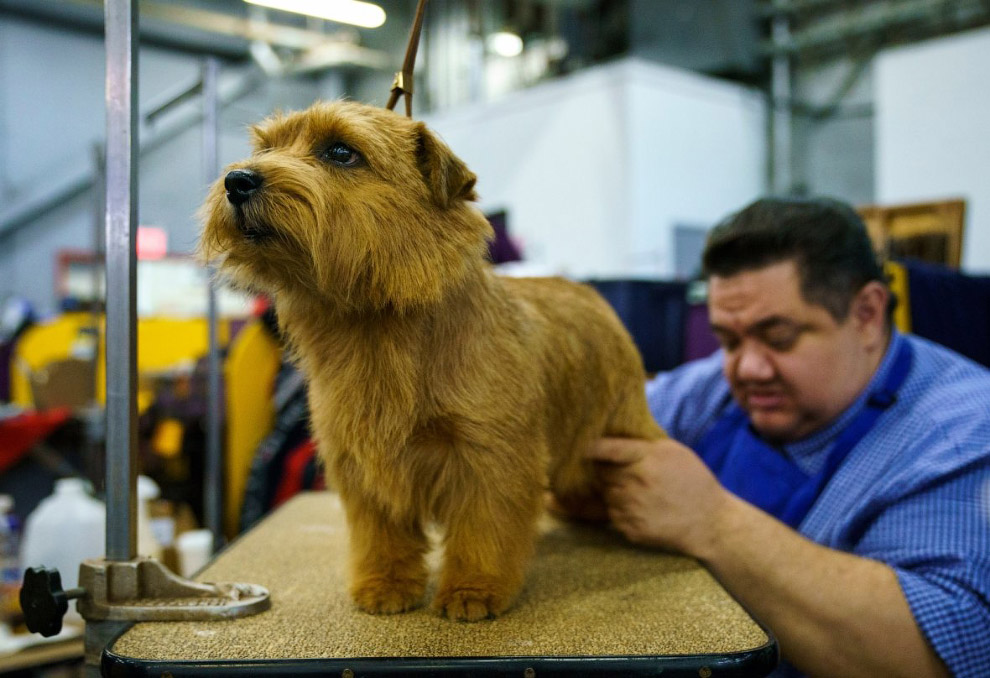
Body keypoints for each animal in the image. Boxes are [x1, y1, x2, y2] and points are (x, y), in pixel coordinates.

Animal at [202, 101, 668, 620]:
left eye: (341, 152)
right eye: (266, 148)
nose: (237, 180)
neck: (373, 322)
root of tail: (590, 294)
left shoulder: (490, 457)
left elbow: (484, 531)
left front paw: (473, 590)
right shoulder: (364, 461)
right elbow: (381, 534)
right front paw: (385, 584)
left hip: (620, 428)